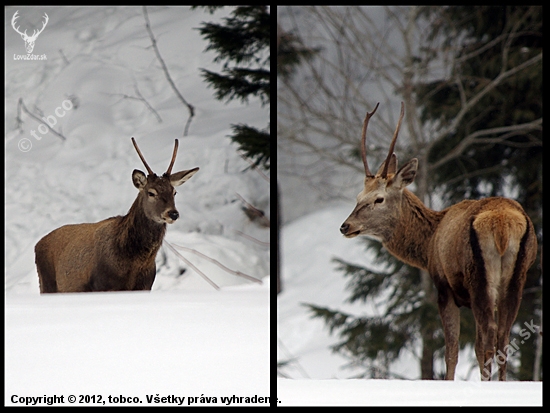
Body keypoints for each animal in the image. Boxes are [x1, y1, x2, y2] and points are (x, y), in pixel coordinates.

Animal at [34, 138, 199, 292]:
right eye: (151, 192)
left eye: (174, 192)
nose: (173, 213)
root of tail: (38, 244)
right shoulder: (102, 286)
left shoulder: (145, 286)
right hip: (47, 284)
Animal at [340, 103, 540, 380]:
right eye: (359, 196)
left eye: (379, 198)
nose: (345, 226)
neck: (428, 246)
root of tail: (502, 226)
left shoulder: (444, 287)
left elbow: (452, 351)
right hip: (517, 276)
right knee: (503, 334)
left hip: (477, 276)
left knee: (489, 335)